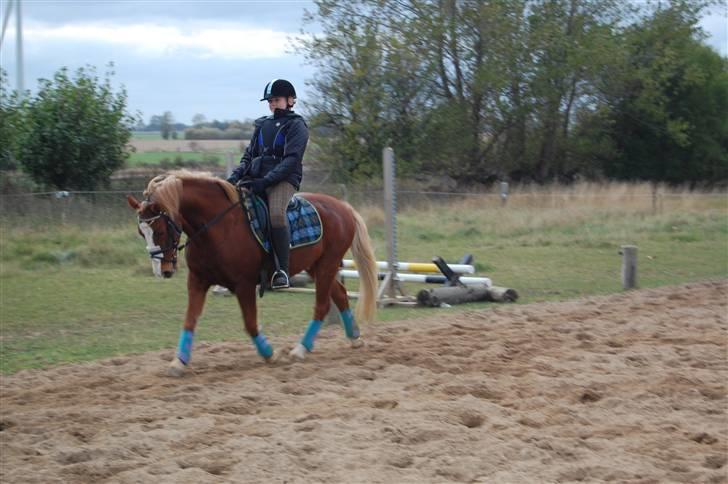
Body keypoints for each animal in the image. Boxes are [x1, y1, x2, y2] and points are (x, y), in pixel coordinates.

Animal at [126, 170, 378, 374]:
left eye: (159, 230)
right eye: (141, 232)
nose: (162, 271)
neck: (218, 227)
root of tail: (343, 207)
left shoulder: (244, 284)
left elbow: (250, 323)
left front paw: (269, 354)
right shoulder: (197, 281)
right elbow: (189, 321)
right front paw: (178, 362)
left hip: (327, 265)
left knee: (323, 305)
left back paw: (300, 349)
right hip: (316, 267)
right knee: (341, 295)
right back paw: (354, 339)